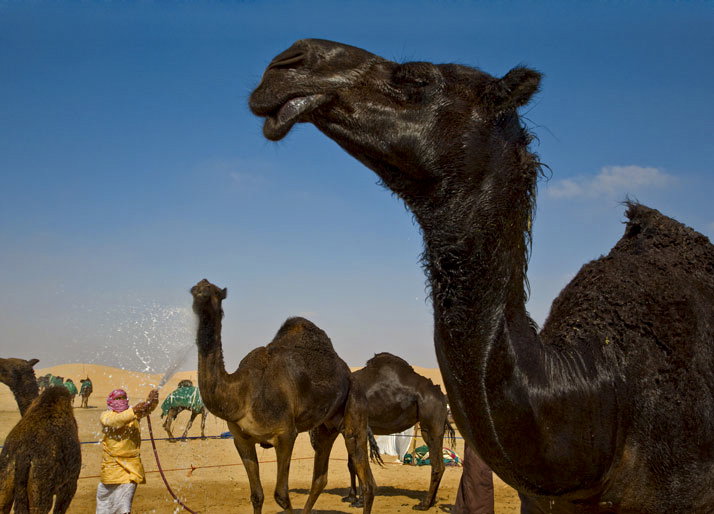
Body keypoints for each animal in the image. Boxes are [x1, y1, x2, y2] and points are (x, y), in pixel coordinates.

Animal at [190, 278, 376, 513]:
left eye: (212, 291)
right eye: (195, 289)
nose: (199, 294)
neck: (242, 394)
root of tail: (350, 375)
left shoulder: (285, 435)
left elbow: (281, 495)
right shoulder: (241, 439)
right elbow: (257, 495)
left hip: (355, 409)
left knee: (367, 479)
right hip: (325, 427)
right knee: (320, 477)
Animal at [344, 352, 456, 510]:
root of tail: (442, 396)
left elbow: (356, 462)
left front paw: (358, 501)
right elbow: (352, 463)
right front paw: (351, 497)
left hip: (431, 424)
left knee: (437, 465)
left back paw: (424, 504)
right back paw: (431, 501)